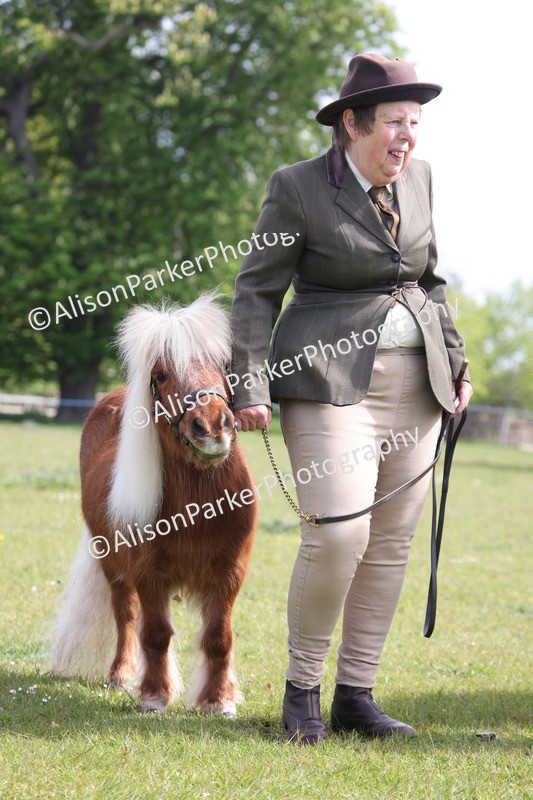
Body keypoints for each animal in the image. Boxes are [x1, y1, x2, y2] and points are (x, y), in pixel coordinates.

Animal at [51, 294, 257, 715]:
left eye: (223, 364)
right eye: (160, 375)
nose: (212, 427)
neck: (199, 507)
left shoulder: (230, 574)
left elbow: (219, 637)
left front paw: (218, 701)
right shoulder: (149, 574)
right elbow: (157, 633)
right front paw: (154, 696)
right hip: (111, 564)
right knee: (126, 615)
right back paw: (121, 674)